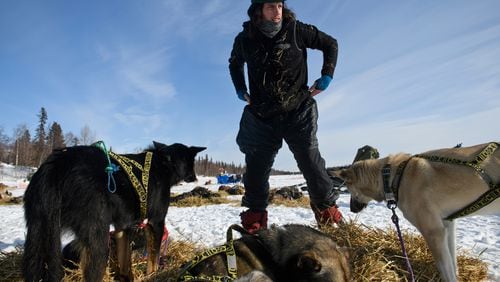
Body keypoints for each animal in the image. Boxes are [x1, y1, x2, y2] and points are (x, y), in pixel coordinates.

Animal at [22, 142, 204, 280]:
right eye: (192, 163)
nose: (195, 177)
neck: (165, 163)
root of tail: (57, 165)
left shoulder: (122, 227)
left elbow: (124, 263)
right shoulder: (156, 223)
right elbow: (154, 259)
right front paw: (152, 276)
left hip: (37, 235)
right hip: (98, 239)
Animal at [336, 143, 500, 282]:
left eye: (350, 190)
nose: (352, 209)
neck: (391, 177)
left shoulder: (434, 232)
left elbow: (446, 272)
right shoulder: (447, 225)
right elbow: (453, 265)